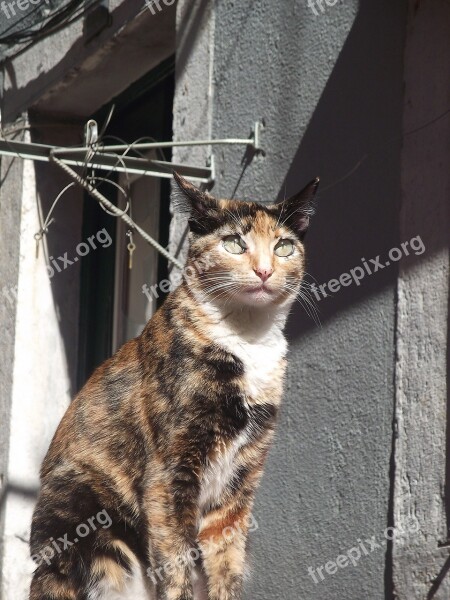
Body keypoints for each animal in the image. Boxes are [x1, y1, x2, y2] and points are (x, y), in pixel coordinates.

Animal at [29, 170, 320, 600]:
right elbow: (176, 561)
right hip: (92, 527)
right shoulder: (170, 472)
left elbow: (227, 562)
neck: (247, 341)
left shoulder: (241, 480)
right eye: (234, 243)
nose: (265, 271)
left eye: (283, 247)